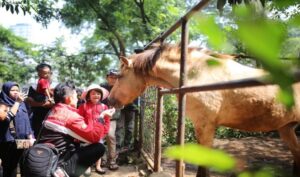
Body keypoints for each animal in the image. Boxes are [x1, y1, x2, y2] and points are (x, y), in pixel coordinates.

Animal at [108, 43, 300, 176]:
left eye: (120, 76)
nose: (109, 100)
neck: (198, 75)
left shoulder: (206, 126)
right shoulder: (200, 126)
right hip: (286, 128)